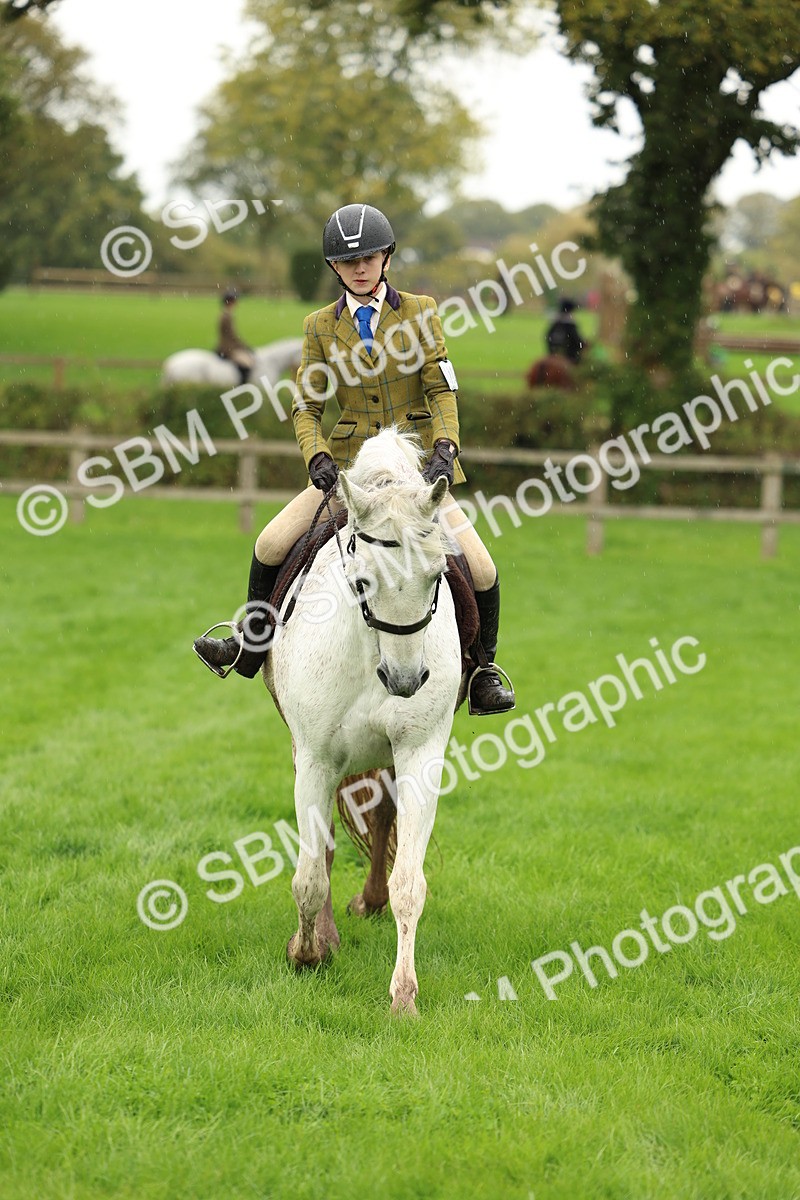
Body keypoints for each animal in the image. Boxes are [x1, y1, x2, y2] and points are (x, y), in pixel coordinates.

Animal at [263, 429, 464, 1015]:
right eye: (363, 582)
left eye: (438, 575)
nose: (405, 678)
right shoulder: (315, 757)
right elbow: (310, 872)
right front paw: (307, 954)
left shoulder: (420, 752)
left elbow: (409, 883)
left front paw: (404, 996)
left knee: (380, 820)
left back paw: (369, 903)